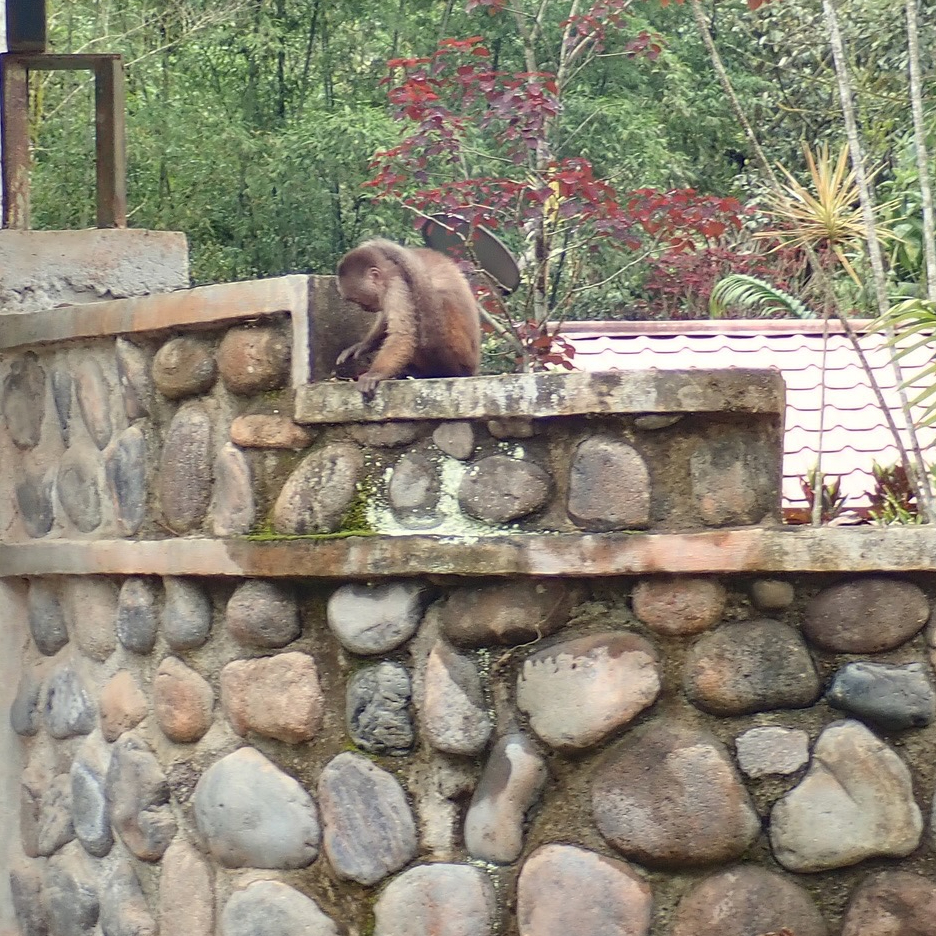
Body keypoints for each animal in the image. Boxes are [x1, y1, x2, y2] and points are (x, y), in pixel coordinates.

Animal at [335, 239, 481, 398]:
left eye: (358, 301)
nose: (363, 308)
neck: (391, 270)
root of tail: (473, 369)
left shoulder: (396, 285)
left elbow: (403, 334)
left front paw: (375, 373)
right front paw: (362, 346)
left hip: (454, 355)